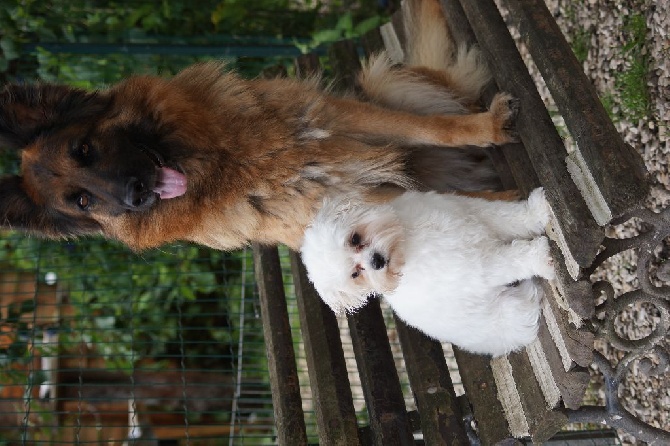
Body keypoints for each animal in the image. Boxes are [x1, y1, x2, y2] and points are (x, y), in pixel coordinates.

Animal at [0, 0, 520, 251]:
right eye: (81, 201)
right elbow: (468, 207)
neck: (228, 166)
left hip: (382, 83)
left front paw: (487, 129)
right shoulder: (348, 202)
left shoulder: (333, 118)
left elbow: (431, 129)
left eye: (84, 150)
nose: (135, 195)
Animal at [304, 187, 556, 356]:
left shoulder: (469, 210)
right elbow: (511, 260)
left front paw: (537, 212)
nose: (376, 261)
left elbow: (506, 216)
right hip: (510, 313)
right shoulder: (479, 266)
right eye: (355, 274)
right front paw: (540, 258)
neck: (405, 243)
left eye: (354, 239)